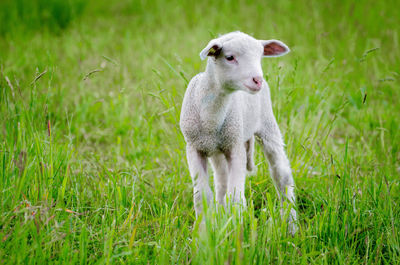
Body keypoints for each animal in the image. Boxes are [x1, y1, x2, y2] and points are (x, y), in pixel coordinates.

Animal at [180, 31, 296, 233]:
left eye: (260, 56)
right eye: (229, 57)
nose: (257, 80)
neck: (210, 118)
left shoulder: (235, 148)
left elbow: (235, 198)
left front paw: (236, 231)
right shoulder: (194, 147)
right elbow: (202, 196)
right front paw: (203, 233)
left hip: (267, 124)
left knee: (282, 176)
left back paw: (291, 226)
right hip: (219, 150)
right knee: (221, 183)